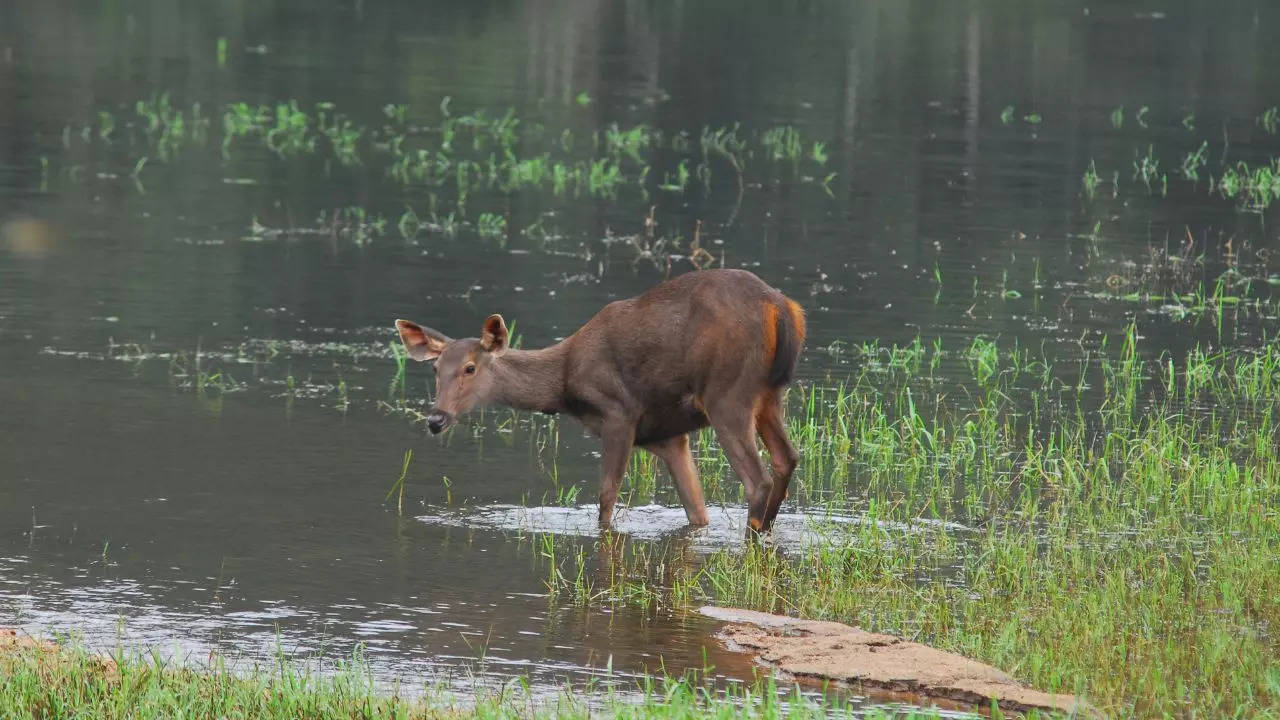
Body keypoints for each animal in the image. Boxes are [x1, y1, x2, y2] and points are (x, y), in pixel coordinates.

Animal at [394, 266, 803, 530]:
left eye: (470, 368)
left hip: (727, 393)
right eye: (436, 368)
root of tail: (781, 307)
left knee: (757, 480)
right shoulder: (668, 437)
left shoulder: (619, 413)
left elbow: (606, 498)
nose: (436, 419)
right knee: (788, 458)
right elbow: (697, 513)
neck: (563, 386)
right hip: (770, 394)